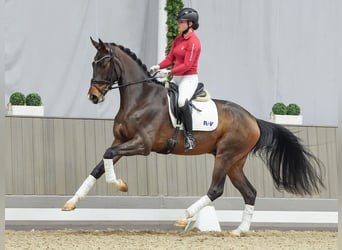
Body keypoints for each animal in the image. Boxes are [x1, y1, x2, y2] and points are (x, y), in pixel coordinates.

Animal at [62, 38, 324, 235]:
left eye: (104, 63)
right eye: (93, 63)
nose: (93, 96)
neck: (141, 99)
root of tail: (253, 119)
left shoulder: (142, 145)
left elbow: (107, 156)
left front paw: (120, 184)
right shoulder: (121, 141)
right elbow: (100, 164)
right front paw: (72, 202)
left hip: (226, 157)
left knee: (216, 190)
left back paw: (184, 217)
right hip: (235, 162)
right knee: (249, 192)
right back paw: (239, 231)